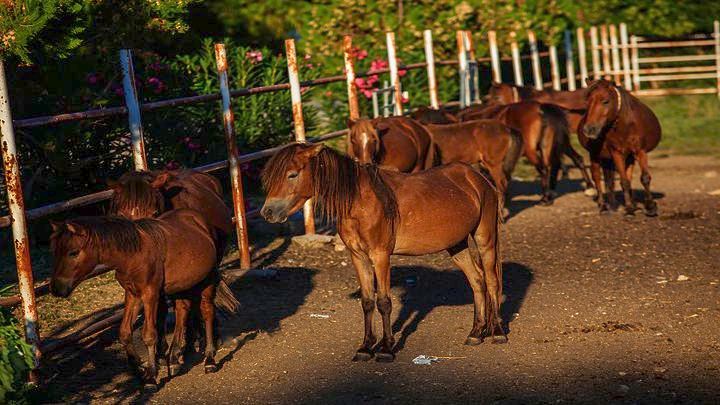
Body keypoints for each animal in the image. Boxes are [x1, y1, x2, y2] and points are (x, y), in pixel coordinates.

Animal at [458, 100, 592, 204]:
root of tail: (542, 107)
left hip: (531, 150)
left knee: (544, 168)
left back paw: (546, 198)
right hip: (558, 144)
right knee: (573, 160)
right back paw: (588, 187)